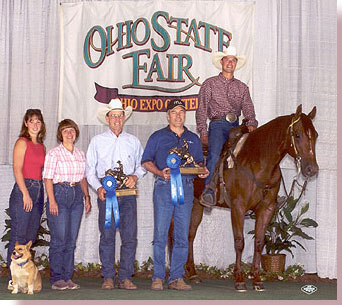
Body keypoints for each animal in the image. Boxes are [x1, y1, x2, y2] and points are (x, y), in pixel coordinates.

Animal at [174, 104, 318, 290]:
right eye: (298, 135)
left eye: (315, 135)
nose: (312, 169)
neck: (258, 163)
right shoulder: (238, 208)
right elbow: (239, 242)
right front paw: (239, 279)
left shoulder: (266, 209)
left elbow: (259, 242)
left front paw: (256, 279)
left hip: (196, 204)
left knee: (190, 235)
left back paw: (192, 273)